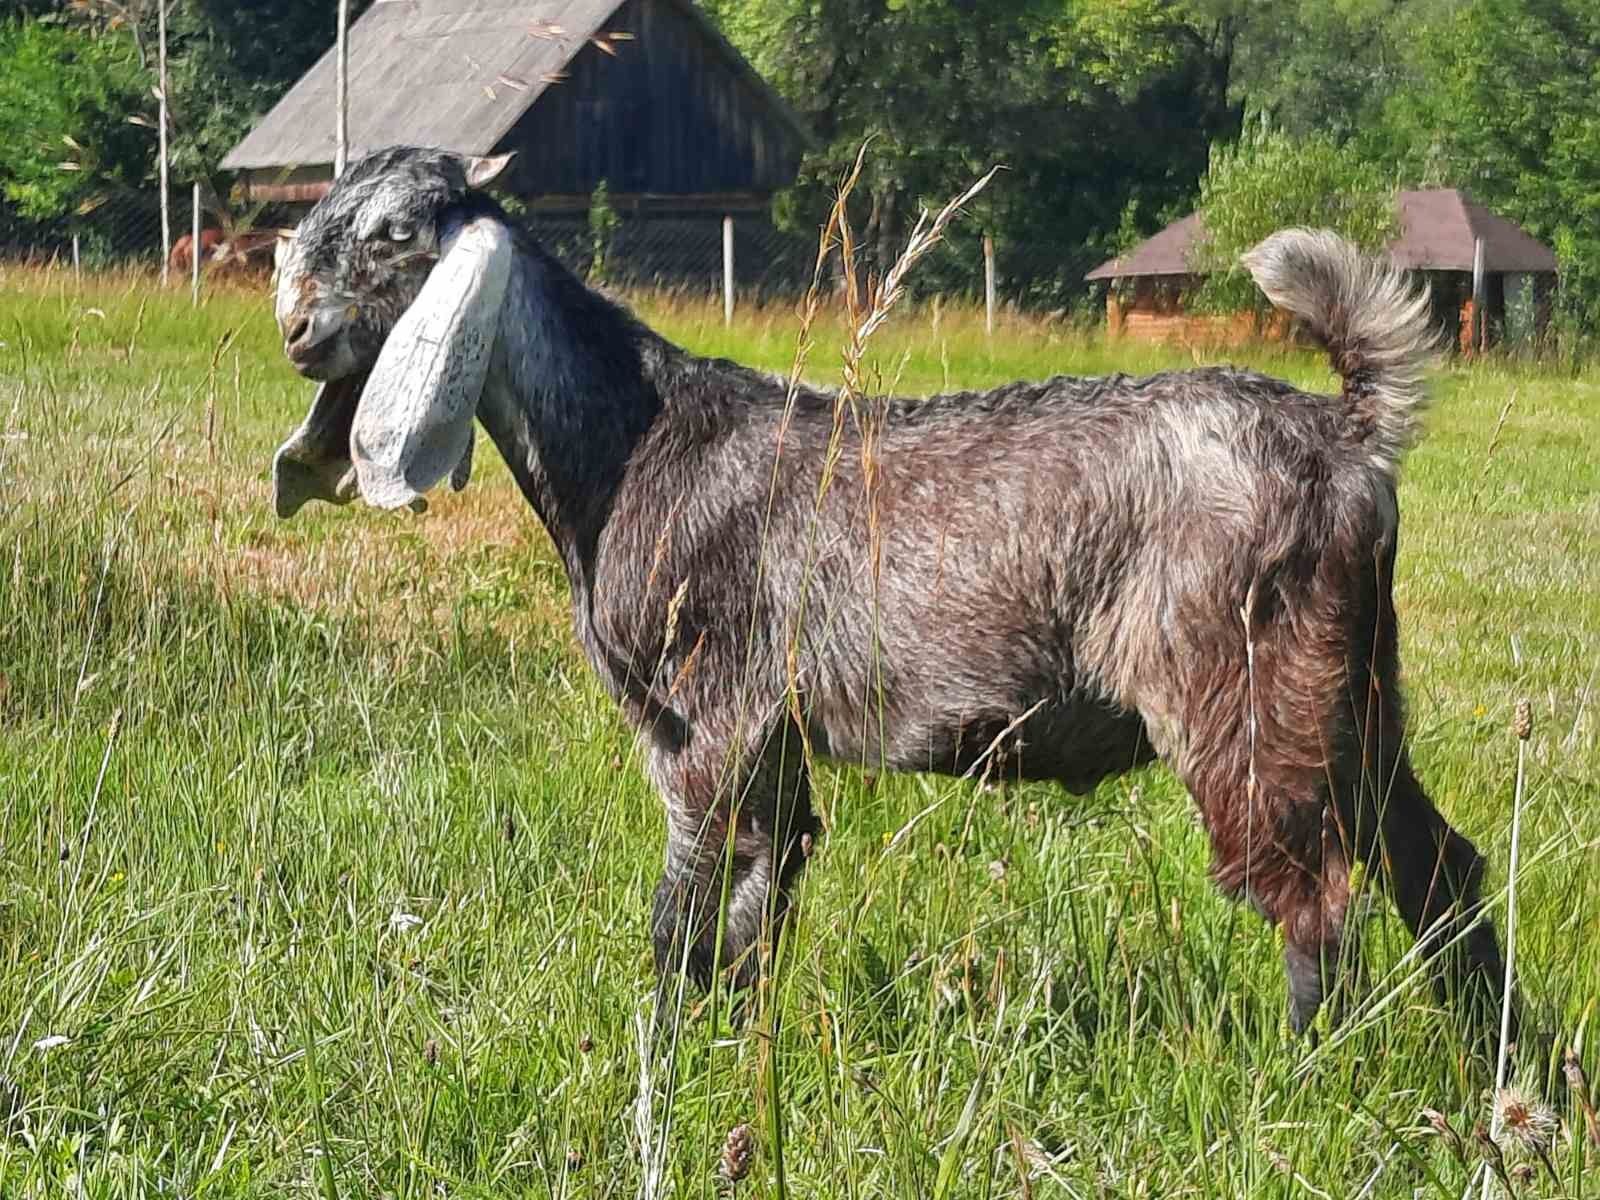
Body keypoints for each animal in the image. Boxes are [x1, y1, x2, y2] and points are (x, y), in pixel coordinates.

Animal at [272, 145, 1510, 1036]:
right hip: (1351, 693)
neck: (632, 441)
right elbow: (757, 901)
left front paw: (657, 1060)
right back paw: (1494, 1069)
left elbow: (685, 917)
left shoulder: (703, 722)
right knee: (1438, 868)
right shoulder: (769, 744)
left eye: (392, 235)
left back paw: (1301, 1079)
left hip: (1244, 689)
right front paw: (733, 1051)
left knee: (1316, 898)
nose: (295, 332)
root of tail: (1349, 438)